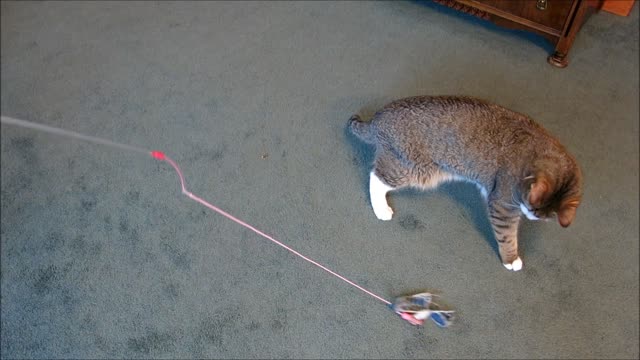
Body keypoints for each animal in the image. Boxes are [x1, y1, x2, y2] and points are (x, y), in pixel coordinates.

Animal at [348, 95, 584, 270]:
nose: (529, 215)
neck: (539, 152)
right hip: (412, 168)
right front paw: (511, 259)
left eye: (540, 216)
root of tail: (378, 118)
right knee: (376, 177)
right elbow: (507, 235)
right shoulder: (503, 204)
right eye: (531, 207)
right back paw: (381, 209)